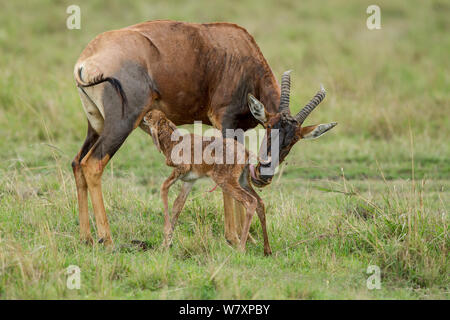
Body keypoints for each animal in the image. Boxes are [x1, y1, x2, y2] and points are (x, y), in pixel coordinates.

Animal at [72, 20, 336, 245]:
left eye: (293, 141)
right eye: (270, 129)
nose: (264, 176)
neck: (238, 51)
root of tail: (86, 60)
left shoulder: (239, 128)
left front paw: (248, 238)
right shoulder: (226, 122)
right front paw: (234, 238)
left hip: (95, 124)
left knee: (77, 163)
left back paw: (86, 238)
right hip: (122, 123)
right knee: (93, 164)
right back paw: (107, 240)